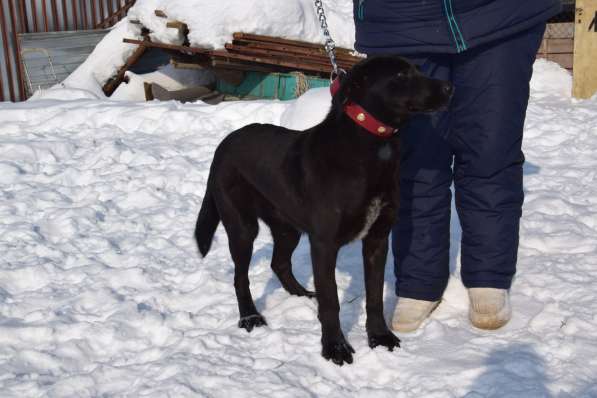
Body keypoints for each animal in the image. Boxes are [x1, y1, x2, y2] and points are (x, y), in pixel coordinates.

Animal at [196, 54, 452, 366]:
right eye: (402, 75)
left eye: (417, 69)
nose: (449, 88)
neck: (373, 148)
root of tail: (224, 144)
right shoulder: (325, 244)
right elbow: (332, 301)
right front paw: (335, 347)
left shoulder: (377, 239)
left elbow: (375, 296)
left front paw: (379, 337)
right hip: (242, 226)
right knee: (240, 277)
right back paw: (250, 316)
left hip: (287, 226)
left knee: (279, 262)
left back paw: (301, 294)